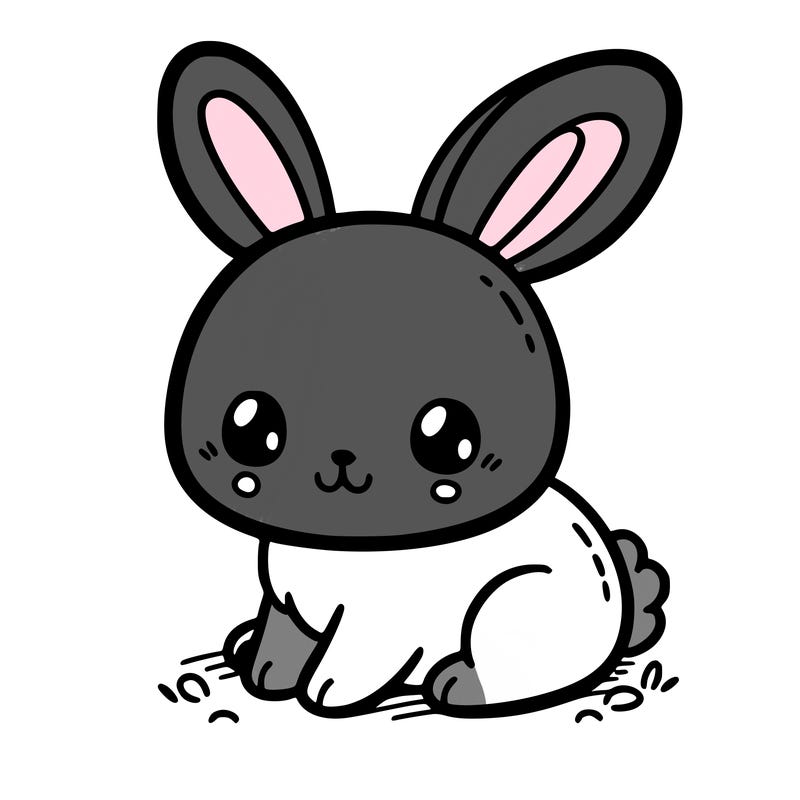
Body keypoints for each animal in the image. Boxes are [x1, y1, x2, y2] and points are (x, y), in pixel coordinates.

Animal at [158, 42, 679, 718]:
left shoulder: (380, 624)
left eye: (450, 439)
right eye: (249, 427)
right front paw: (265, 671)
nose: (341, 463)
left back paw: (458, 682)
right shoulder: (289, 607)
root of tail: (616, 602)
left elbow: (354, 659)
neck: (352, 549)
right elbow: (283, 634)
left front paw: (325, 694)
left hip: (512, 607)